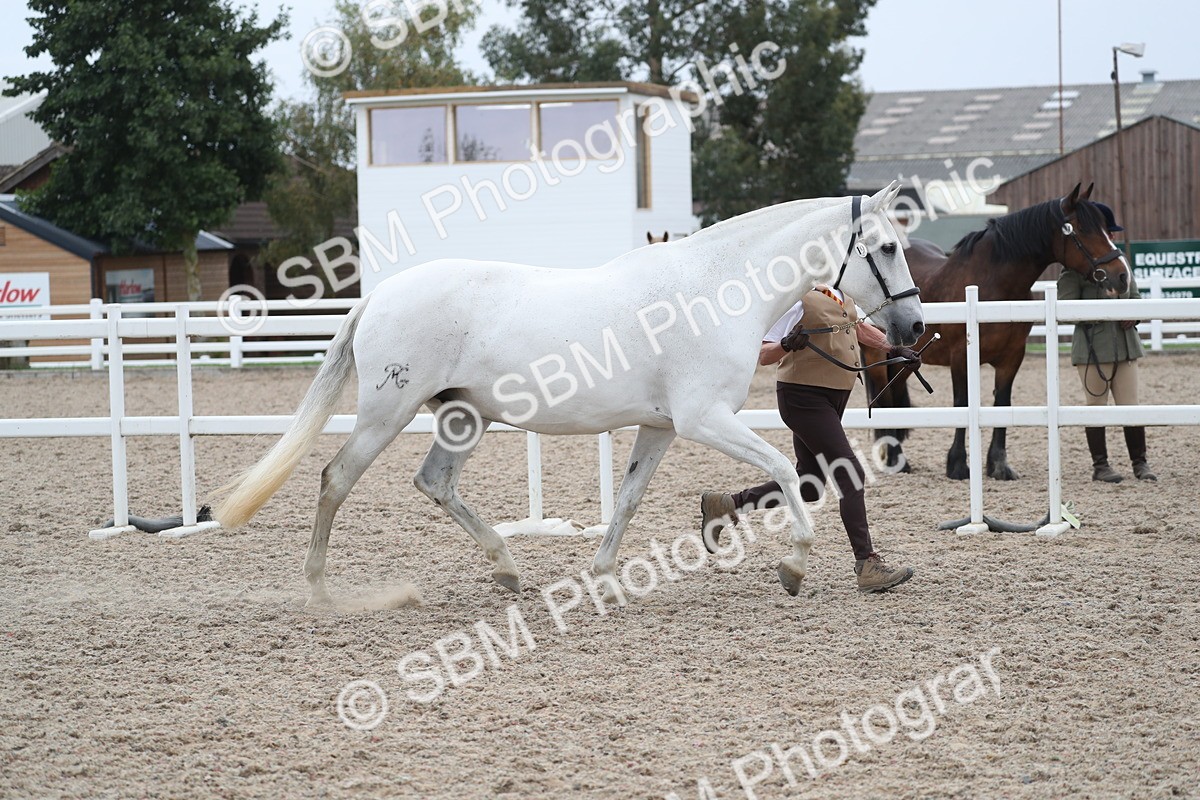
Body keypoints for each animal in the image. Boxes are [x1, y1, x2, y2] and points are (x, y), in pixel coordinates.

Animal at [212, 183, 924, 606]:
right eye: (888, 247)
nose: (915, 328)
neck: (715, 290)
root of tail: (380, 294)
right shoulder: (705, 418)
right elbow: (781, 465)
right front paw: (796, 566)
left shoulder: (663, 427)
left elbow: (630, 498)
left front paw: (604, 576)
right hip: (388, 411)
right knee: (335, 478)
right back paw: (320, 591)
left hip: (464, 417)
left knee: (434, 482)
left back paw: (505, 566)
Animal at [864, 183, 1131, 480]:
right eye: (1083, 229)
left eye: (1106, 229)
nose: (1122, 275)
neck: (994, 284)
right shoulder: (961, 357)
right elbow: (962, 403)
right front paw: (958, 465)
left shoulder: (1011, 358)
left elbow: (1002, 403)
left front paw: (999, 465)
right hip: (877, 357)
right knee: (885, 399)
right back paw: (893, 459)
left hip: (907, 361)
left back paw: (899, 459)